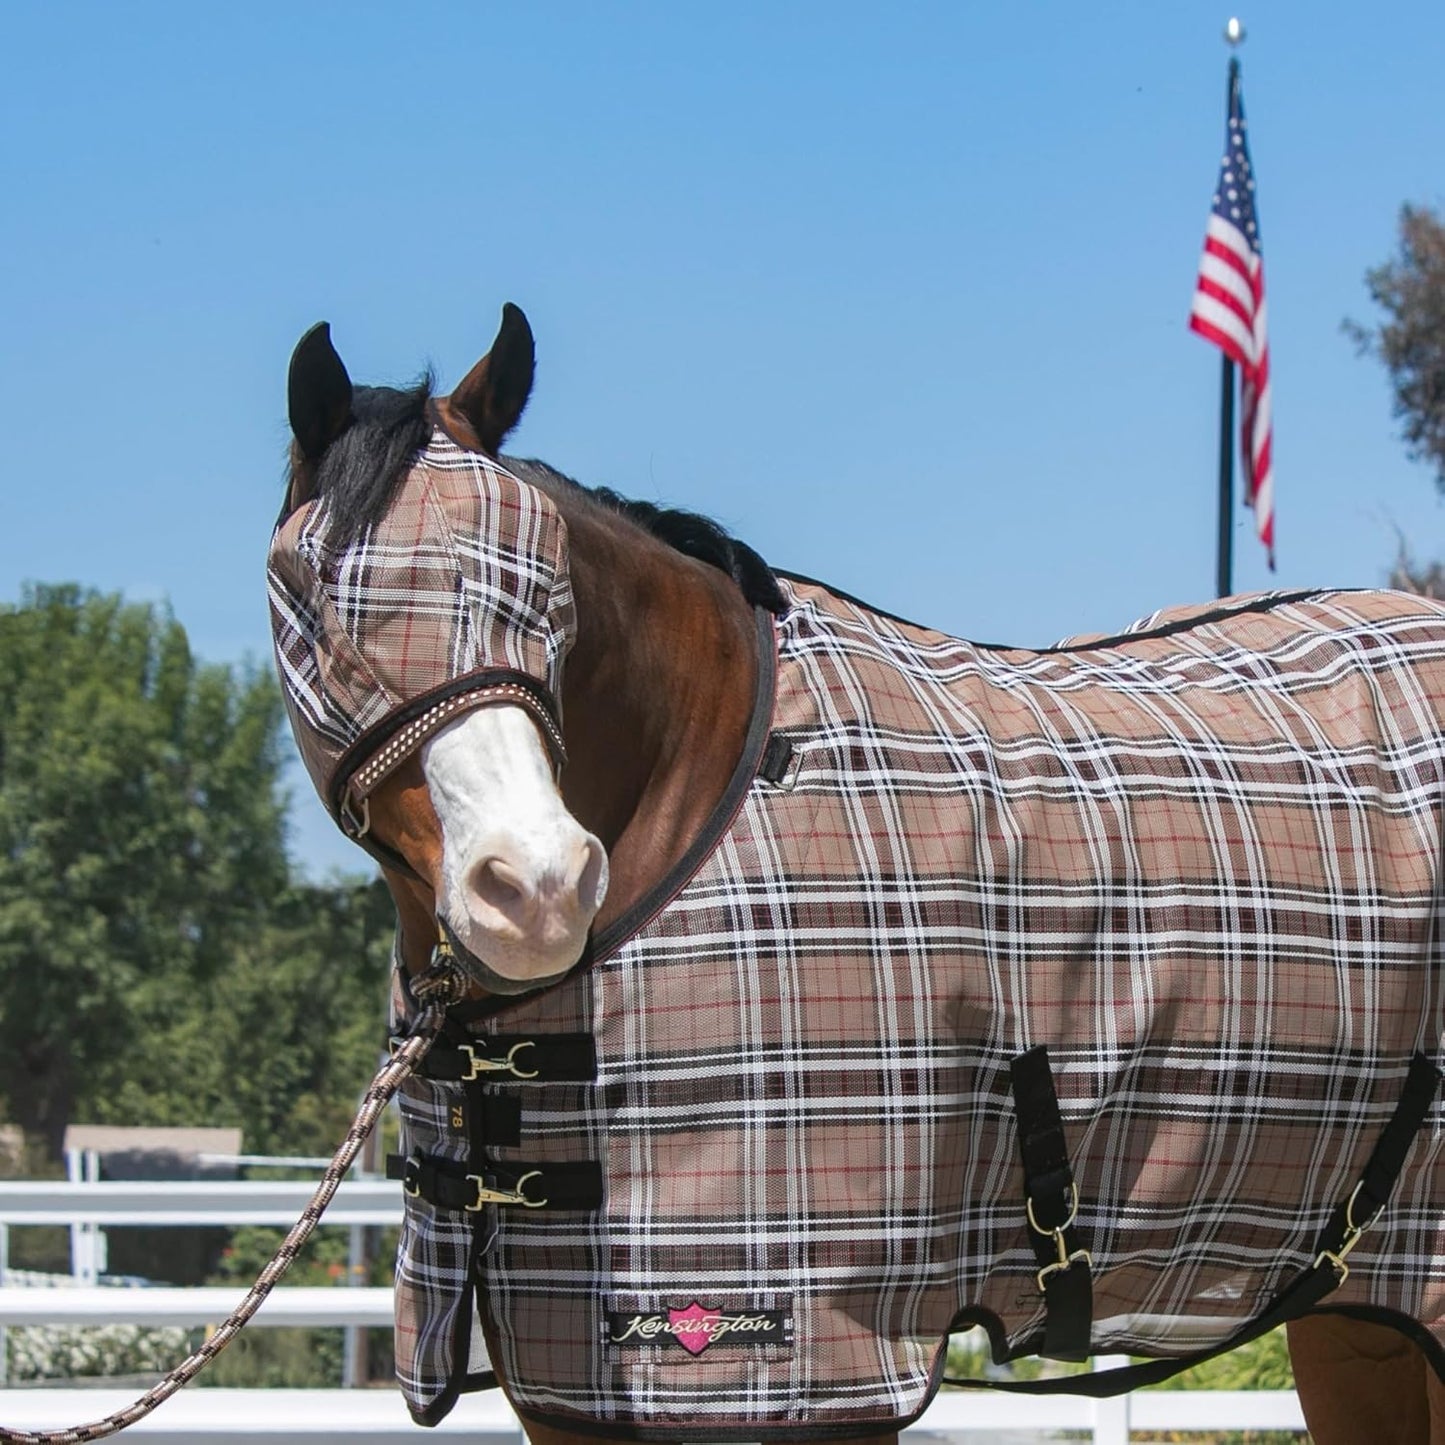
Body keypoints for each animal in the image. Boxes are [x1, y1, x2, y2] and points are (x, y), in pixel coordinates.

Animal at [268, 305, 1445, 1445]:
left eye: (546, 584)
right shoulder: (568, 1387)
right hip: (1355, 1316)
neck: (712, 787)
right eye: (310, 593)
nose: (539, 886)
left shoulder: (821, 1362)